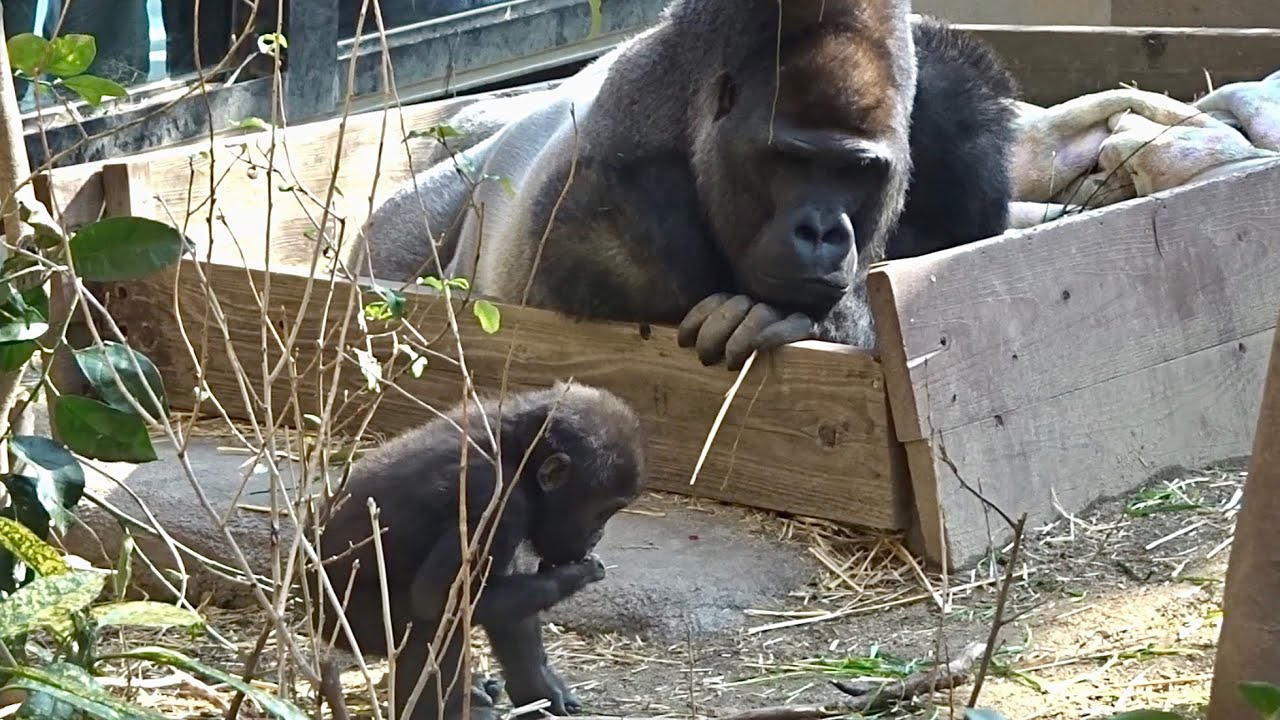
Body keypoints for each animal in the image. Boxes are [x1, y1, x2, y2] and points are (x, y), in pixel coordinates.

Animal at [309, 381, 648, 720]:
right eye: (601, 513)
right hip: (343, 622)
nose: (597, 537)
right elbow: (438, 599)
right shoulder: (496, 499)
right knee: (431, 625)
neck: (518, 455)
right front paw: (574, 576)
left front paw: (540, 688)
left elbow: (511, 610)